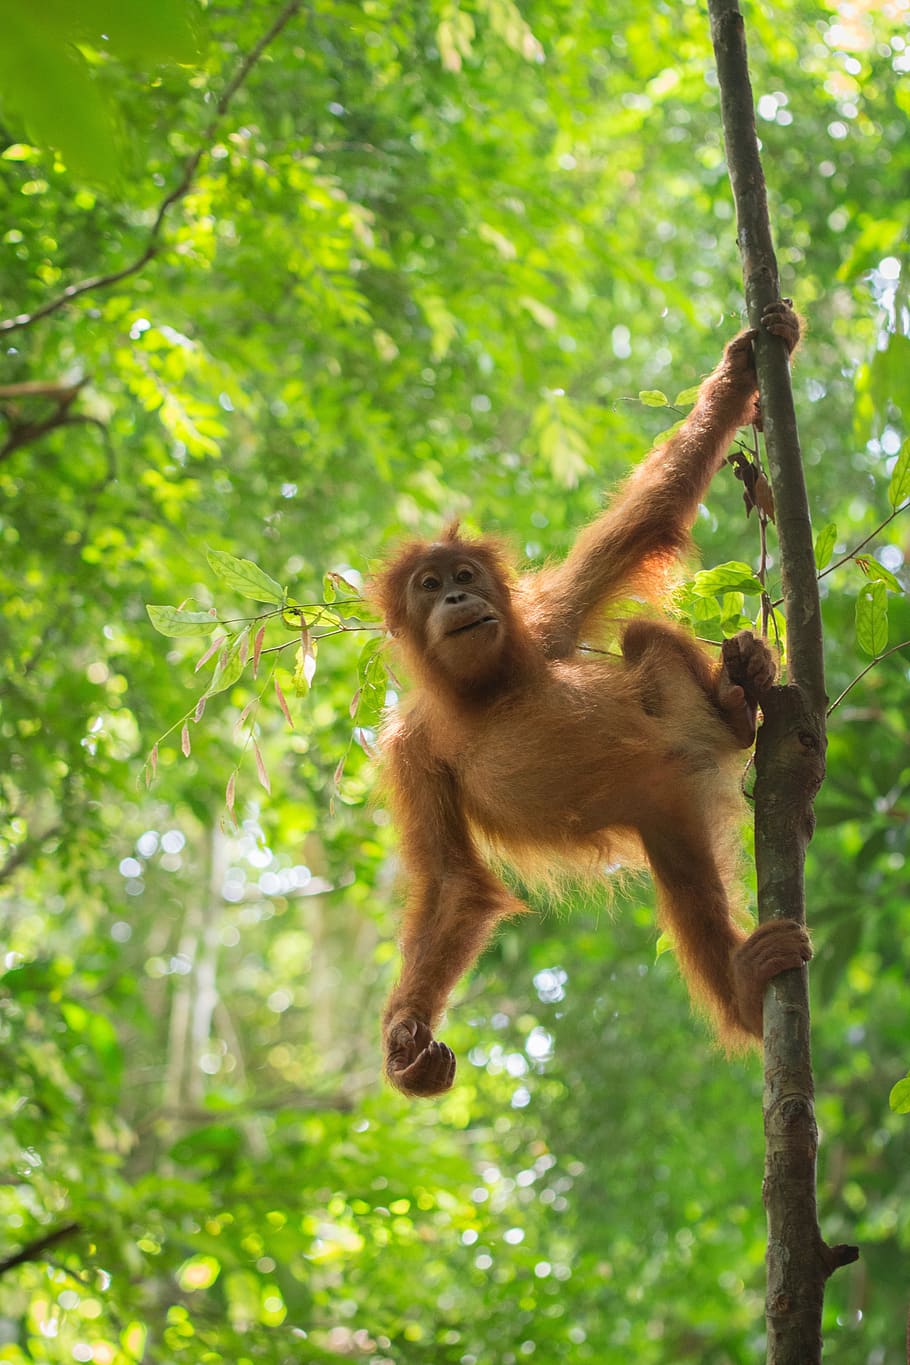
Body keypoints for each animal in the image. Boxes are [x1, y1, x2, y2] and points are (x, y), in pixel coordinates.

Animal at [372, 301, 810, 1097]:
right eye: (428, 585)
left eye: (464, 576)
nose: (455, 597)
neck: (485, 689)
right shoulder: (408, 750)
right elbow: (452, 885)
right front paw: (406, 1045)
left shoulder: (544, 622)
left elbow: (644, 523)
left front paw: (741, 366)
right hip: (664, 810)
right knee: (688, 888)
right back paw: (742, 987)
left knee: (642, 636)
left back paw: (738, 695)